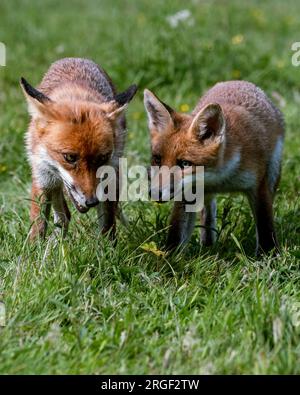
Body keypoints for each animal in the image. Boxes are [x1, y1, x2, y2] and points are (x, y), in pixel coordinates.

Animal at [20, 57, 137, 240]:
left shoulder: (108, 176)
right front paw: (35, 247)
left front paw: (106, 248)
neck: (75, 95)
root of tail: (74, 58)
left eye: (102, 158)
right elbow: (38, 224)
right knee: (63, 215)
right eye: (69, 157)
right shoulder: (42, 175)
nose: (91, 201)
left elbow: (107, 227)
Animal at [144, 81, 284, 255]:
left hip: (273, 173)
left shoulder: (258, 185)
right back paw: (208, 244)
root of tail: (235, 82)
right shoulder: (187, 194)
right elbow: (176, 233)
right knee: (208, 212)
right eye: (157, 159)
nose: (154, 193)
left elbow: (265, 226)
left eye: (184, 164)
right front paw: (169, 258)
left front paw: (269, 255)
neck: (220, 178)